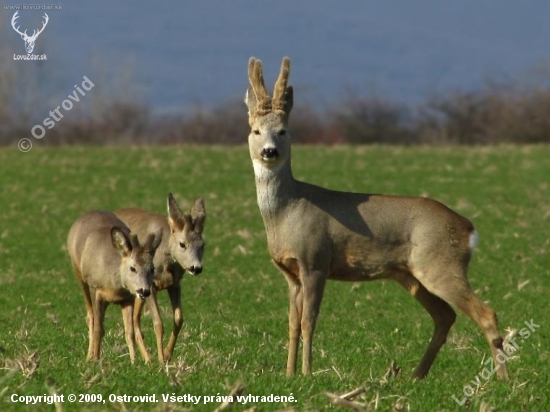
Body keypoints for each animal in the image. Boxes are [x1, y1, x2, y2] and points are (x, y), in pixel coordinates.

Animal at [67, 212, 162, 364]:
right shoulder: (95, 288)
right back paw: (89, 356)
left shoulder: (127, 299)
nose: (145, 291)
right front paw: (96, 360)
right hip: (80, 275)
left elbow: (129, 331)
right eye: (132, 268)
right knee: (90, 317)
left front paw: (133, 361)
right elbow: (98, 328)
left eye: (152, 268)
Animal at [115, 195, 206, 362]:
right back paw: (147, 358)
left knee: (135, 319)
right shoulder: (150, 286)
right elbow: (158, 323)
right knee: (134, 320)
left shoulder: (175, 284)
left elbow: (178, 319)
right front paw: (161, 359)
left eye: (202, 245)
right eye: (182, 244)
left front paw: (167, 354)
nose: (196, 268)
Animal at [246, 57, 512, 380]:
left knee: (485, 312)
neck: (288, 211)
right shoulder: (290, 273)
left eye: (284, 131)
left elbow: (309, 321)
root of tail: (467, 228)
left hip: (441, 264)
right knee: (445, 315)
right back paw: (416, 375)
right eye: (256, 130)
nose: (269, 151)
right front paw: (289, 374)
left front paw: (307, 374)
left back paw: (503, 379)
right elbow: (292, 324)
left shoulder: (315, 262)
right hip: (410, 274)